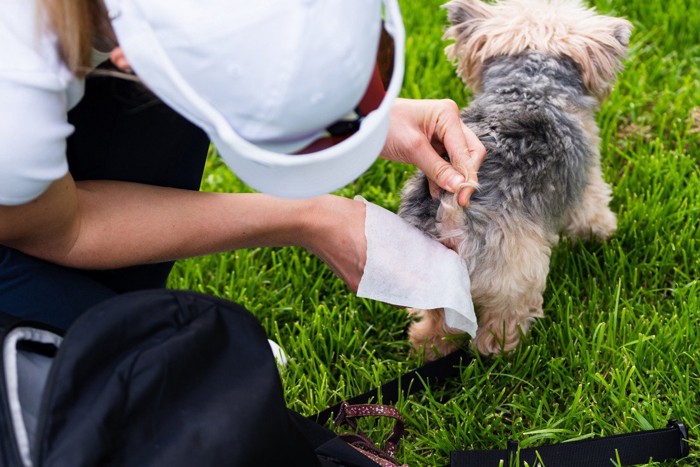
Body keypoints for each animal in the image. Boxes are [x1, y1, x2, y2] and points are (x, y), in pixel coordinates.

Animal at [396, 0, 632, 358]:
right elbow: (592, 213)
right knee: (495, 329)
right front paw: (602, 232)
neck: (531, 87)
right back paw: (506, 351)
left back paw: (427, 346)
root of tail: (450, 216)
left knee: (438, 326)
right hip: (515, 277)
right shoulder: (587, 181)